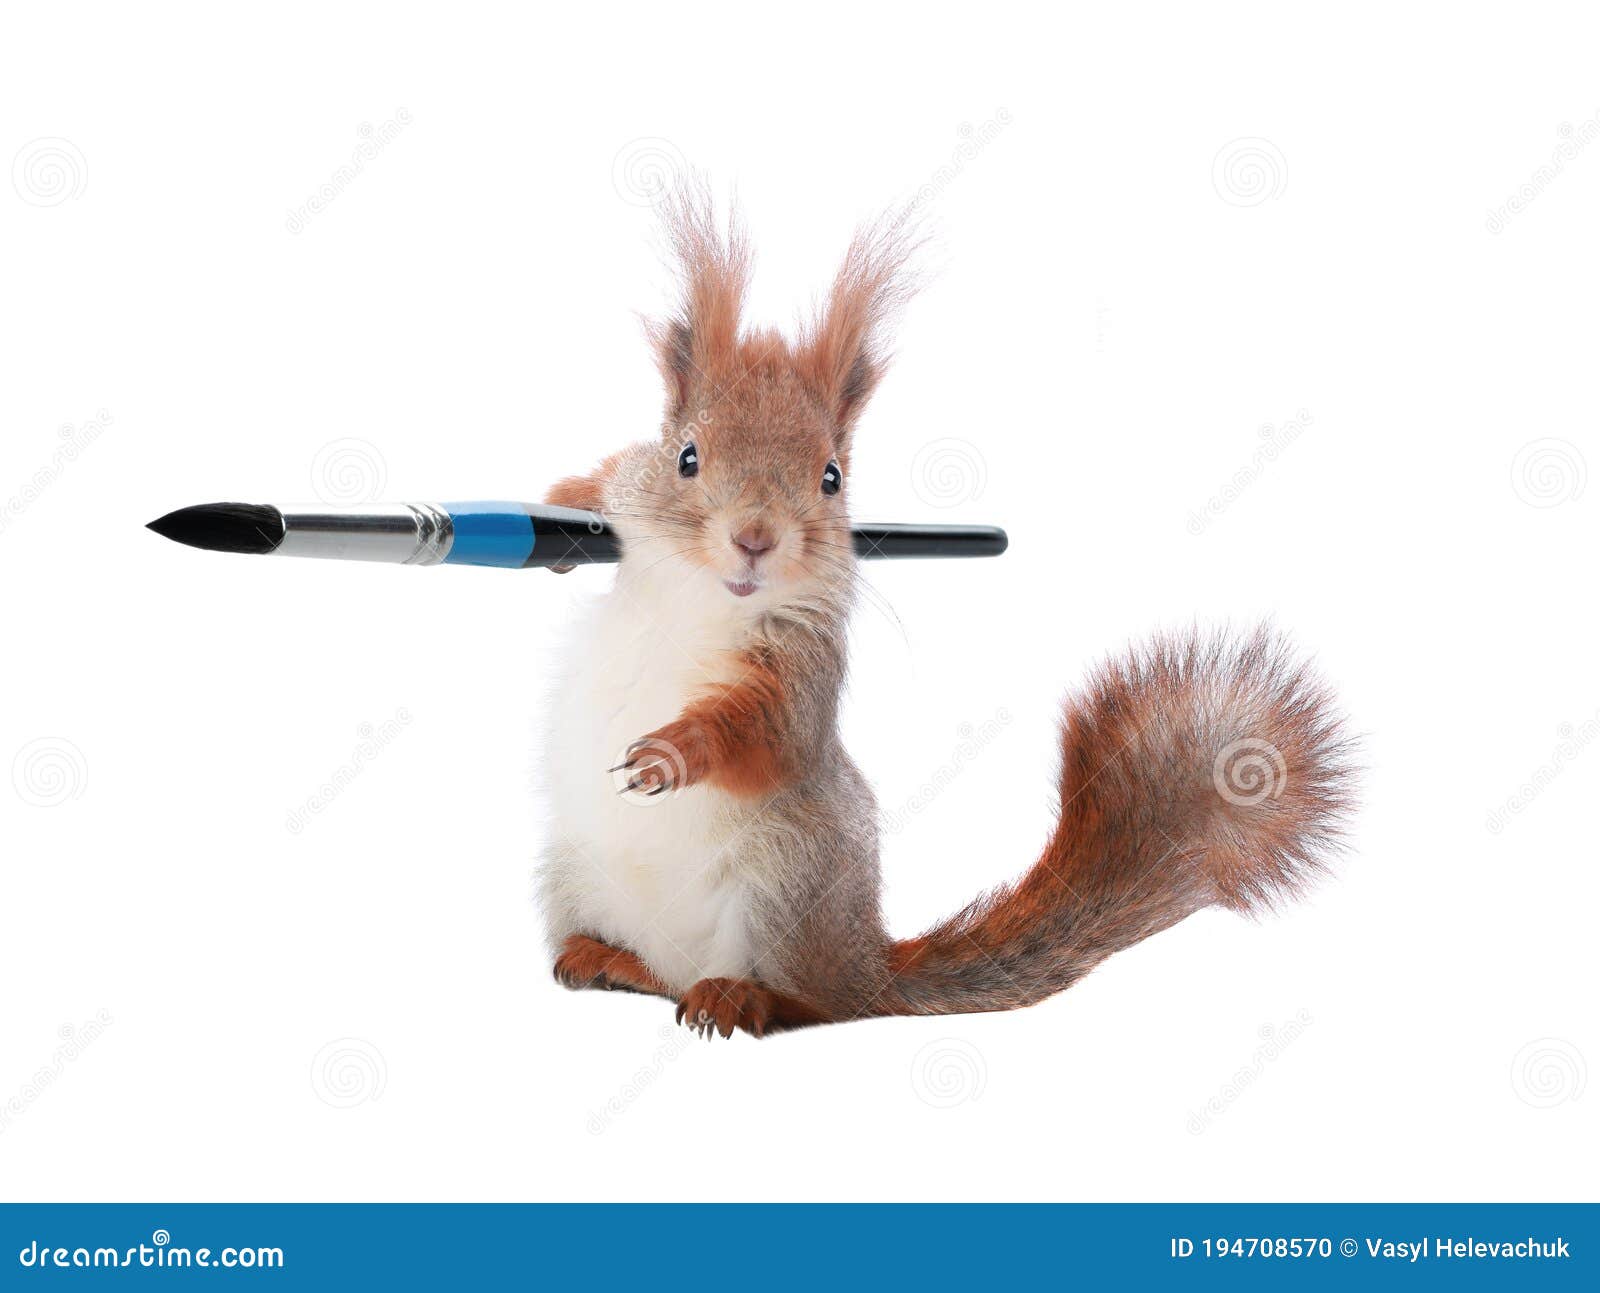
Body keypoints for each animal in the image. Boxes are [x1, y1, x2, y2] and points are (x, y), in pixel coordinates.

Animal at [537, 188, 1354, 1038]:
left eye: (831, 477)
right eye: (686, 458)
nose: (755, 538)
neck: (699, 596)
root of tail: (868, 968)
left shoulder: (802, 667)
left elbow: (768, 731)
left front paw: (672, 751)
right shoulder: (634, 490)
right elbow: (606, 479)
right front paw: (563, 506)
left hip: (785, 887)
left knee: (808, 1005)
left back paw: (739, 994)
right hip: (574, 872)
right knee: (657, 975)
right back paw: (605, 956)